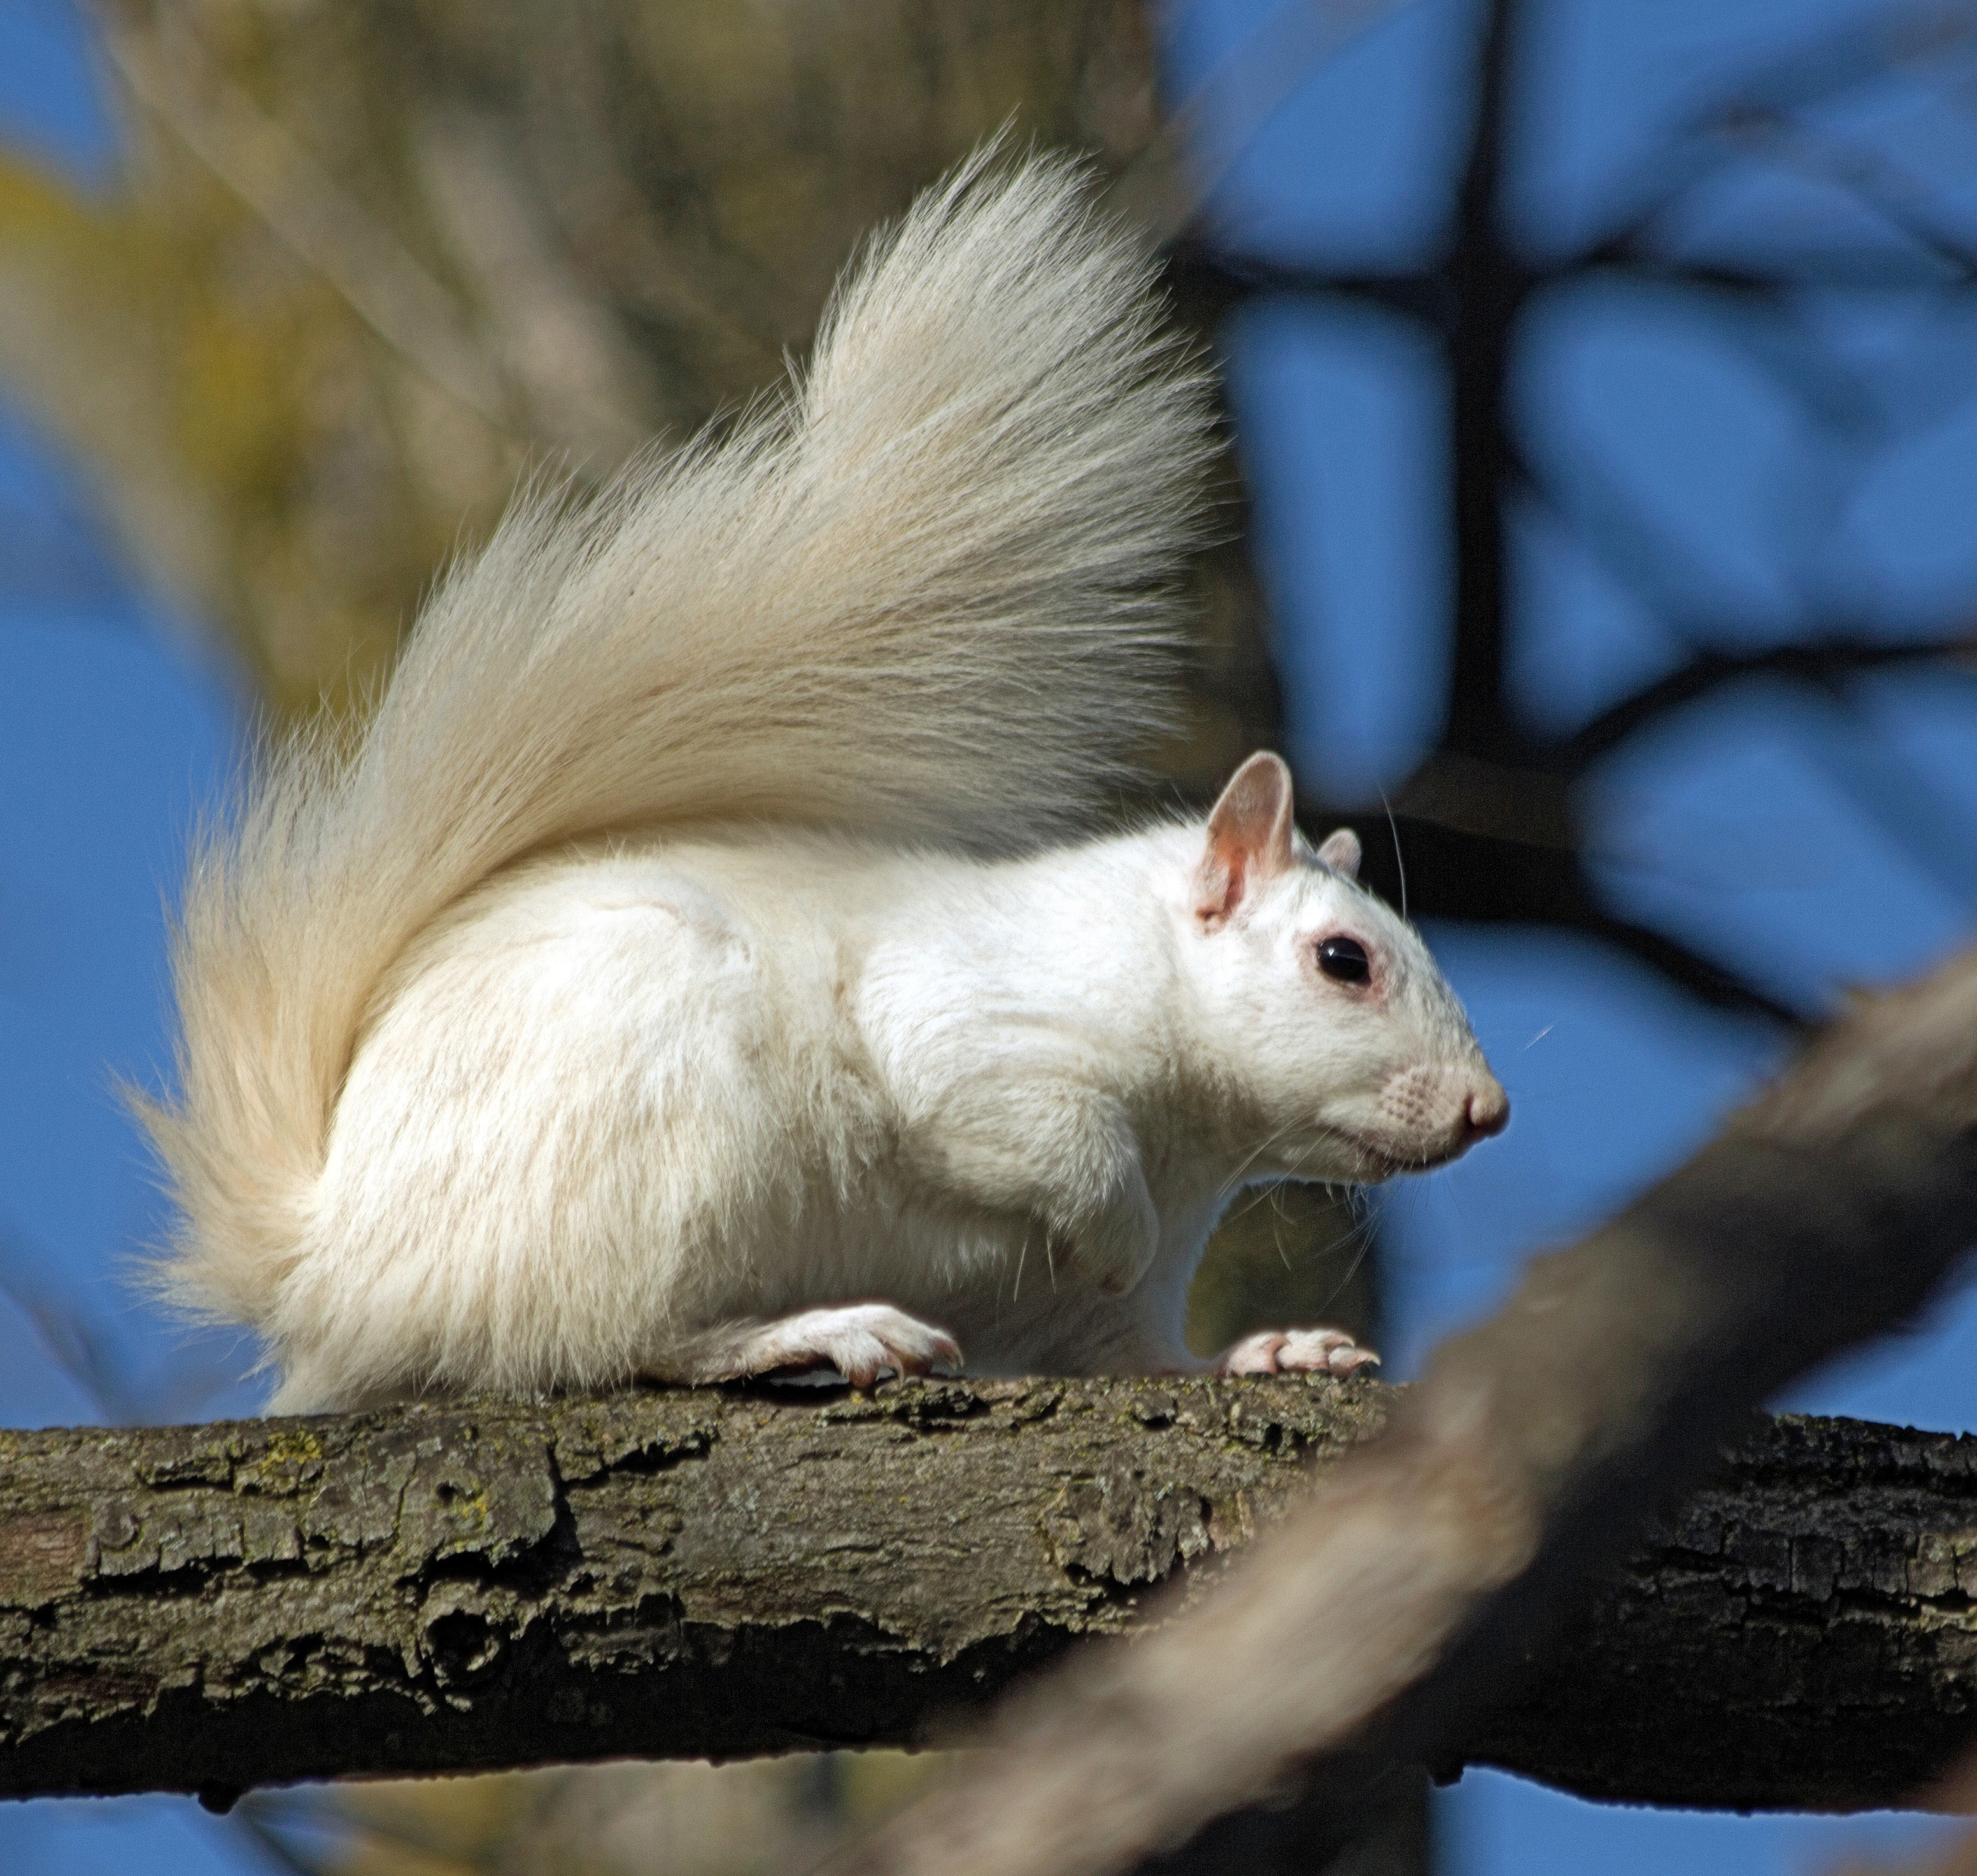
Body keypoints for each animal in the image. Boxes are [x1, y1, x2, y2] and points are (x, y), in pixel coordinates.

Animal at [137, 151, 1508, 1414]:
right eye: (1344, 960)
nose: (1487, 1111)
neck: (1194, 1139)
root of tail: (332, 1268)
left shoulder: (1098, 1301)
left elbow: (1134, 1351)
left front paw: (1271, 1352)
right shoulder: (979, 1025)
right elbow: (1030, 1133)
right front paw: (1114, 1228)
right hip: (658, 1152)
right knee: (618, 1339)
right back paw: (824, 1329)